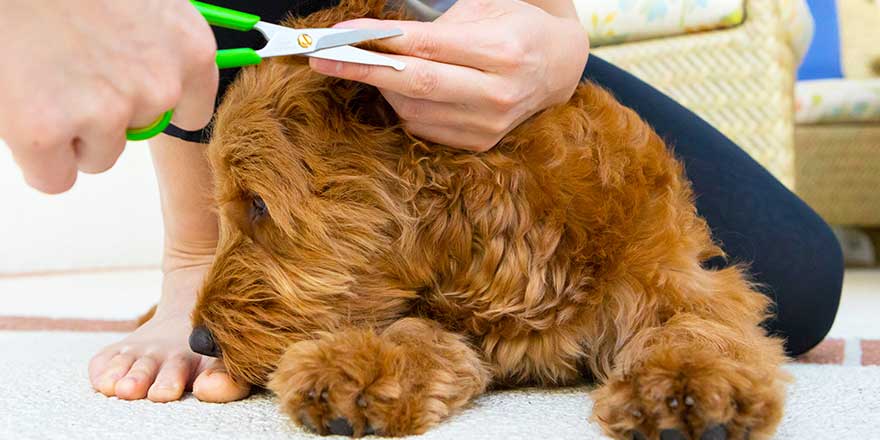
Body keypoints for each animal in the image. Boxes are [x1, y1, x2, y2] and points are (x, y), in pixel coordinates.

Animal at [186, 0, 792, 436]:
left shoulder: (688, 283)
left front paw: (685, 388)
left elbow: (697, 333)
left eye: (258, 204)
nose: (199, 342)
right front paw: (357, 368)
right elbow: (413, 332)